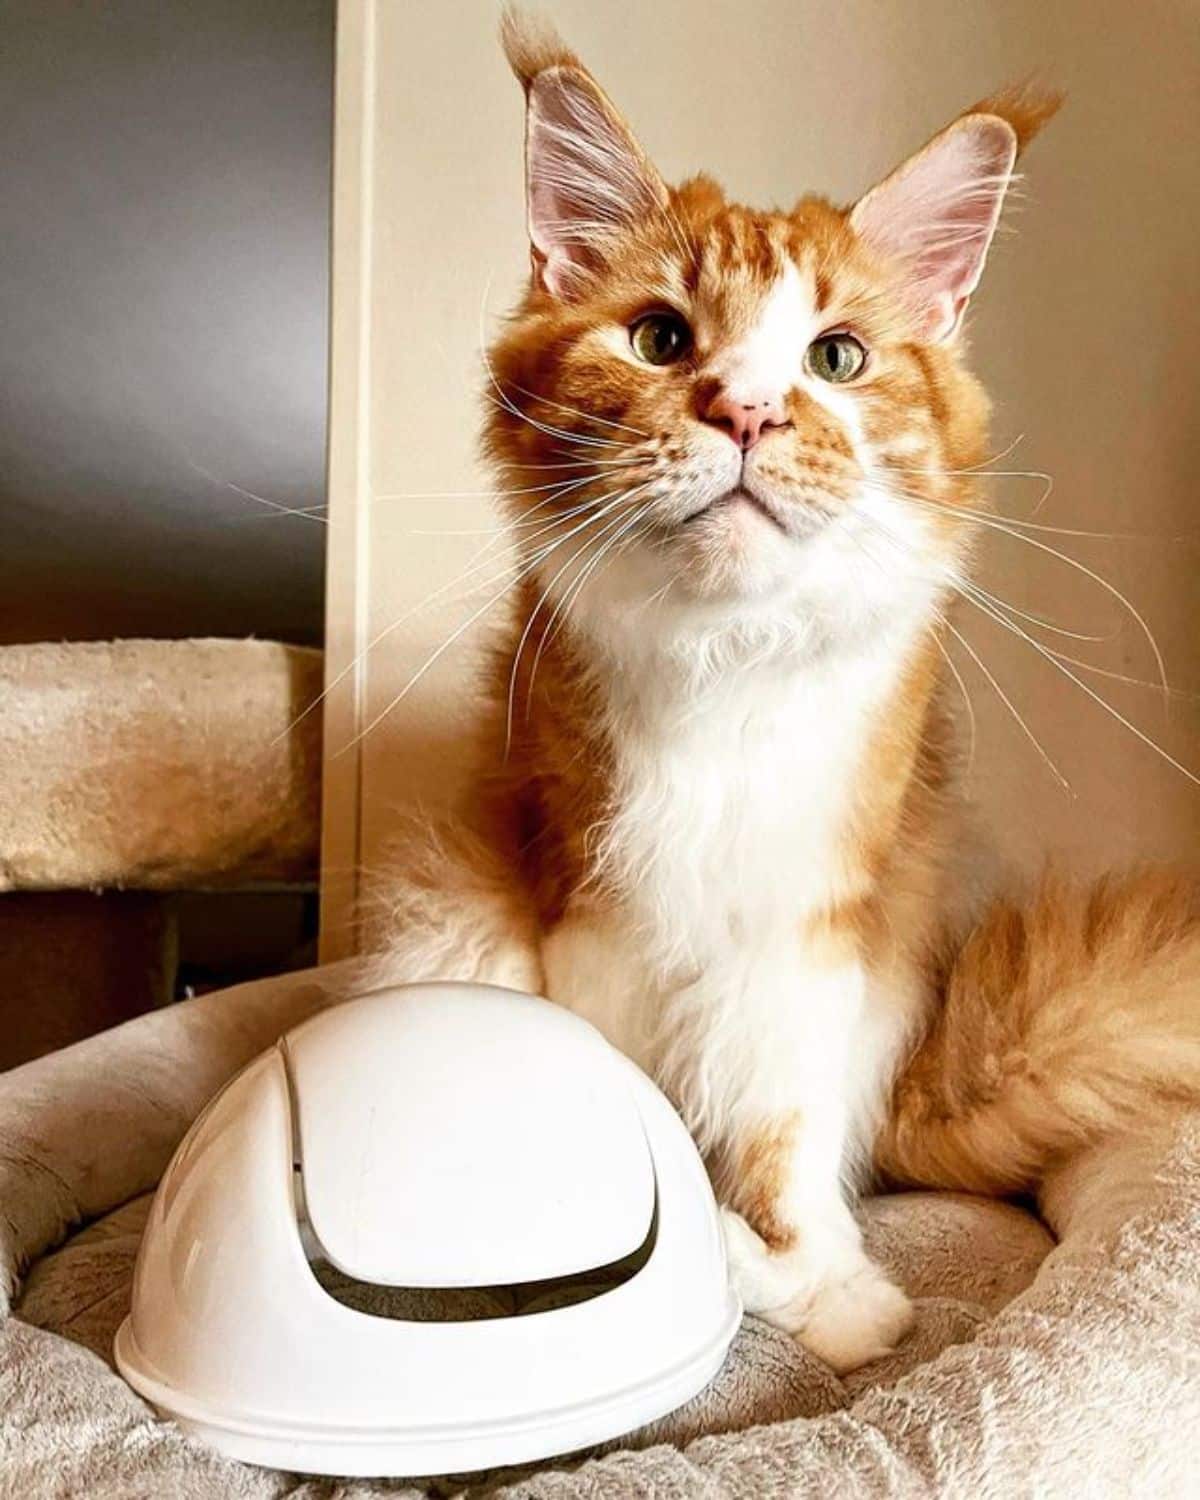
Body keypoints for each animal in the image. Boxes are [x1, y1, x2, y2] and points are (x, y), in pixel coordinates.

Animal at [367, 11, 1200, 1374]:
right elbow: (636, 1099)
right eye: (661, 340)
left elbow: (784, 1134)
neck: (726, 672)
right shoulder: (590, 904)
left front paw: (820, 1287)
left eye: (837, 358)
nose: (748, 411)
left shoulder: (816, 929)